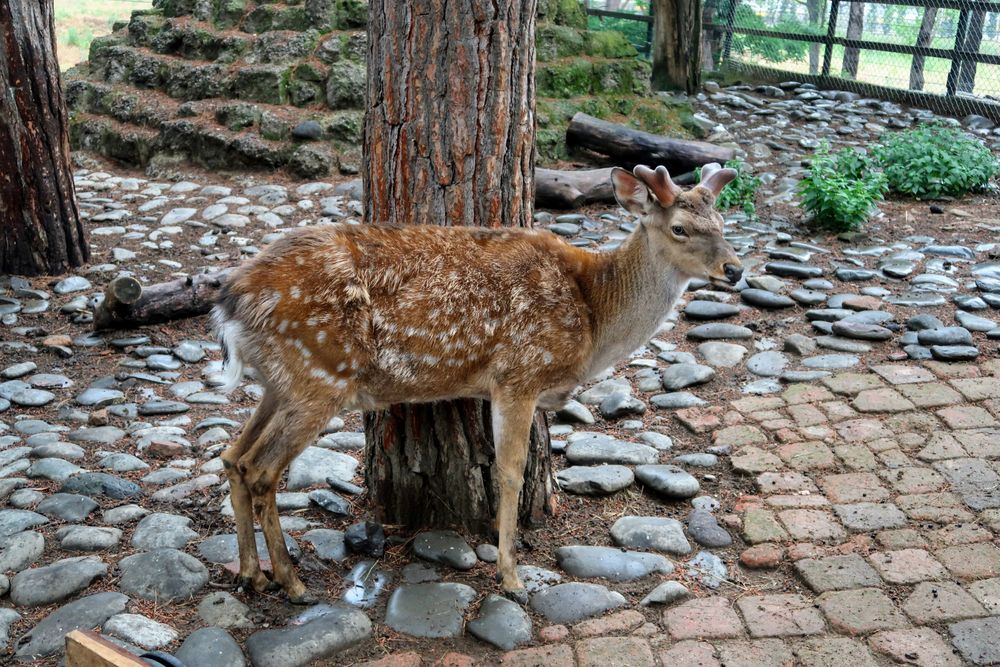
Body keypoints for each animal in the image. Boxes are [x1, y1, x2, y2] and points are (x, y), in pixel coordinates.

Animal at [212, 163, 742, 605]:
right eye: (680, 228)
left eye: (722, 225)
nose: (735, 269)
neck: (594, 317)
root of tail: (231, 302)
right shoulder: (519, 374)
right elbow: (509, 472)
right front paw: (511, 576)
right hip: (318, 375)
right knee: (261, 469)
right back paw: (291, 581)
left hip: (282, 382)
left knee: (233, 457)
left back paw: (252, 574)